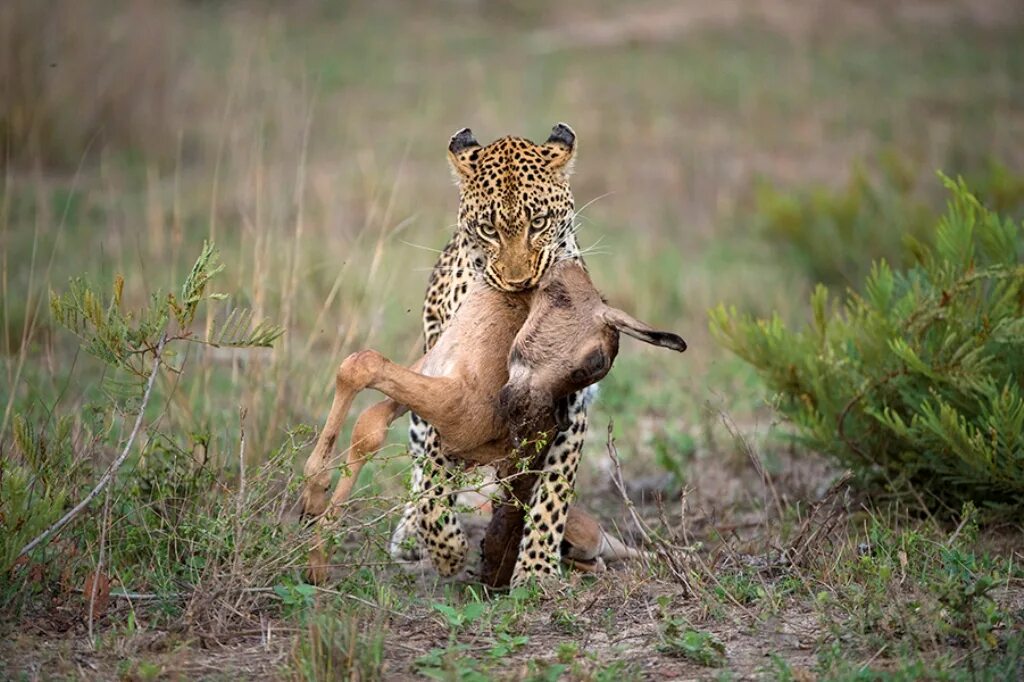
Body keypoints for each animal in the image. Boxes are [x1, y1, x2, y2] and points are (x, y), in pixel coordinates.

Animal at [385, 123, 593, 585]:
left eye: (539, 222)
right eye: (489, 229)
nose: (518, 283)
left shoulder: (572, 404)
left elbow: (553, 491)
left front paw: (536, 571)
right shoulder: (448, 390)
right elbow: (432, 482)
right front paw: (446, 550)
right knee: (419, 466)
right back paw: (411, 535)